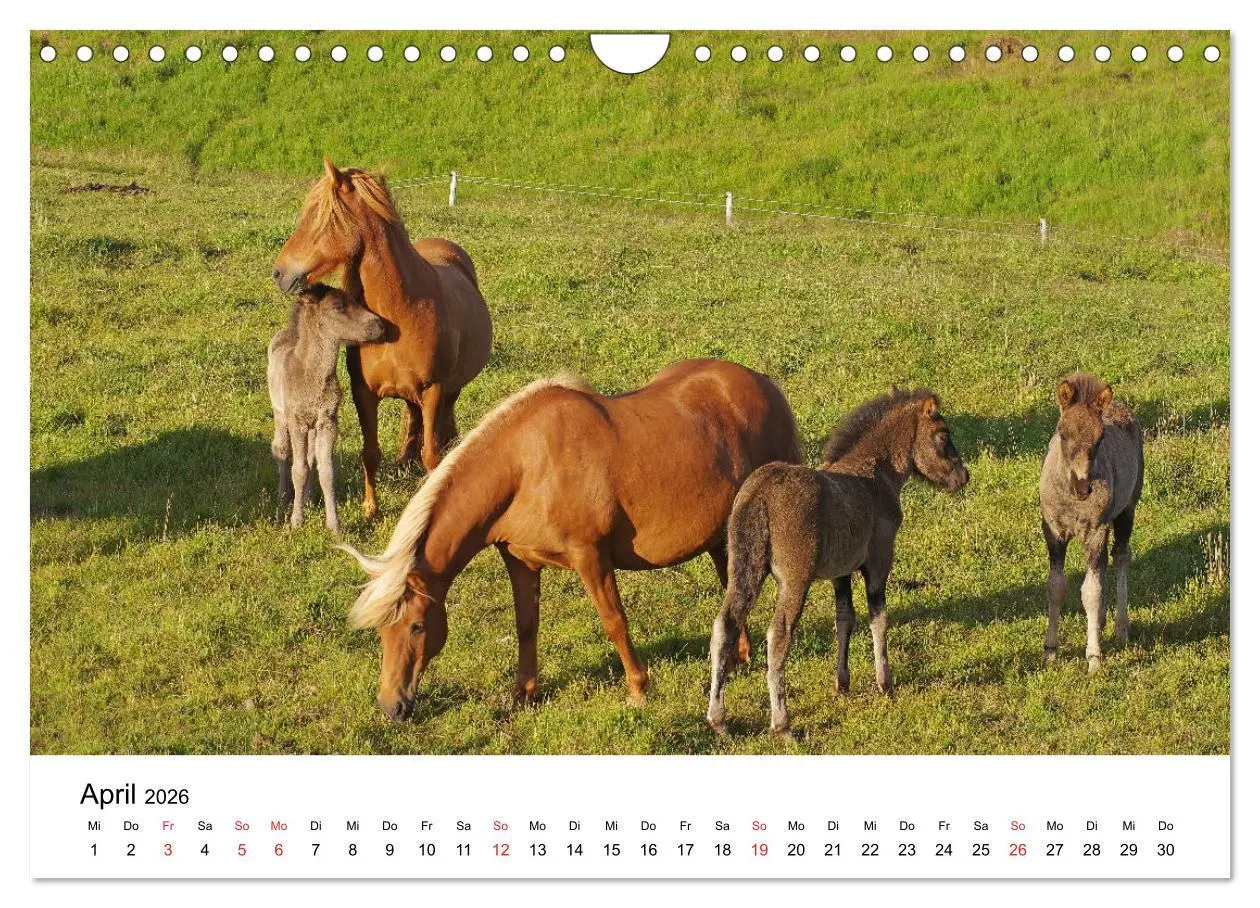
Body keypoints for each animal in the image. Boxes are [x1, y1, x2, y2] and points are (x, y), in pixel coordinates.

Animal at [268, 284, 386, 534]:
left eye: (355, 300)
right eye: (339, 307)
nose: (380, 325)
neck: (312, 374)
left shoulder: (327, 420)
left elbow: (326, 470)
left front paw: (334, 525)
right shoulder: (297, 421)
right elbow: (298, 469)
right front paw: (296, 520)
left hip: (313, 427)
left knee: (311, 457)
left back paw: (309, 498)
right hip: (280, 414)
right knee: (281, 449)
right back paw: (283, 496)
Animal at [272, 158, 493, 518]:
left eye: (317, 217)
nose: (278, 272)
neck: (401, 312)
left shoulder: (433, 390)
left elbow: (431, 456)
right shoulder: (363, 393)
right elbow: (370, 451)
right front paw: (370, 508)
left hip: (451, 388)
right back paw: (403, 459)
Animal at [341, 358, 801, 721]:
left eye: (417, 626)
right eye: (381, 632)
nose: (391, 707)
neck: (526, 467)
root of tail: (765, 385)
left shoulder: (590, 557)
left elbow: (614, 621)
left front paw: (638, 689)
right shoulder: (520, 560)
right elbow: (526, 626)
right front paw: (522, 694)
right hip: (725, 537)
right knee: (734, 589)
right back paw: (737, 659)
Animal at [706, 389, 969, 738]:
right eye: (942, 435)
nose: (962, 476)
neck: (876, 475)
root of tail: (759, 494)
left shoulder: (840, 572)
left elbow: (844, 618)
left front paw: (842, 683)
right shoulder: (879, 559)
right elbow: (878, 617)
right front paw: (885, 683)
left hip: (743, 570)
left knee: (725, 626)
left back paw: (718, 719)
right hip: (795, 580)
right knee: (778, 635)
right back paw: (782, 723)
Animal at [1039, 373, 1143, 673]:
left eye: (1100, 437)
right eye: (1062, 433)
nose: (1082, 487)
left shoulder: (1096, 531)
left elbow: (1091, 592)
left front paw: (1094, 658)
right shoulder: (1053, 531)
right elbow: (1056, 586)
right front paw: (1050, 652)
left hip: (1126, 510)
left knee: (1120, 557)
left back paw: (1120, 627)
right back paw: (1102, 622)